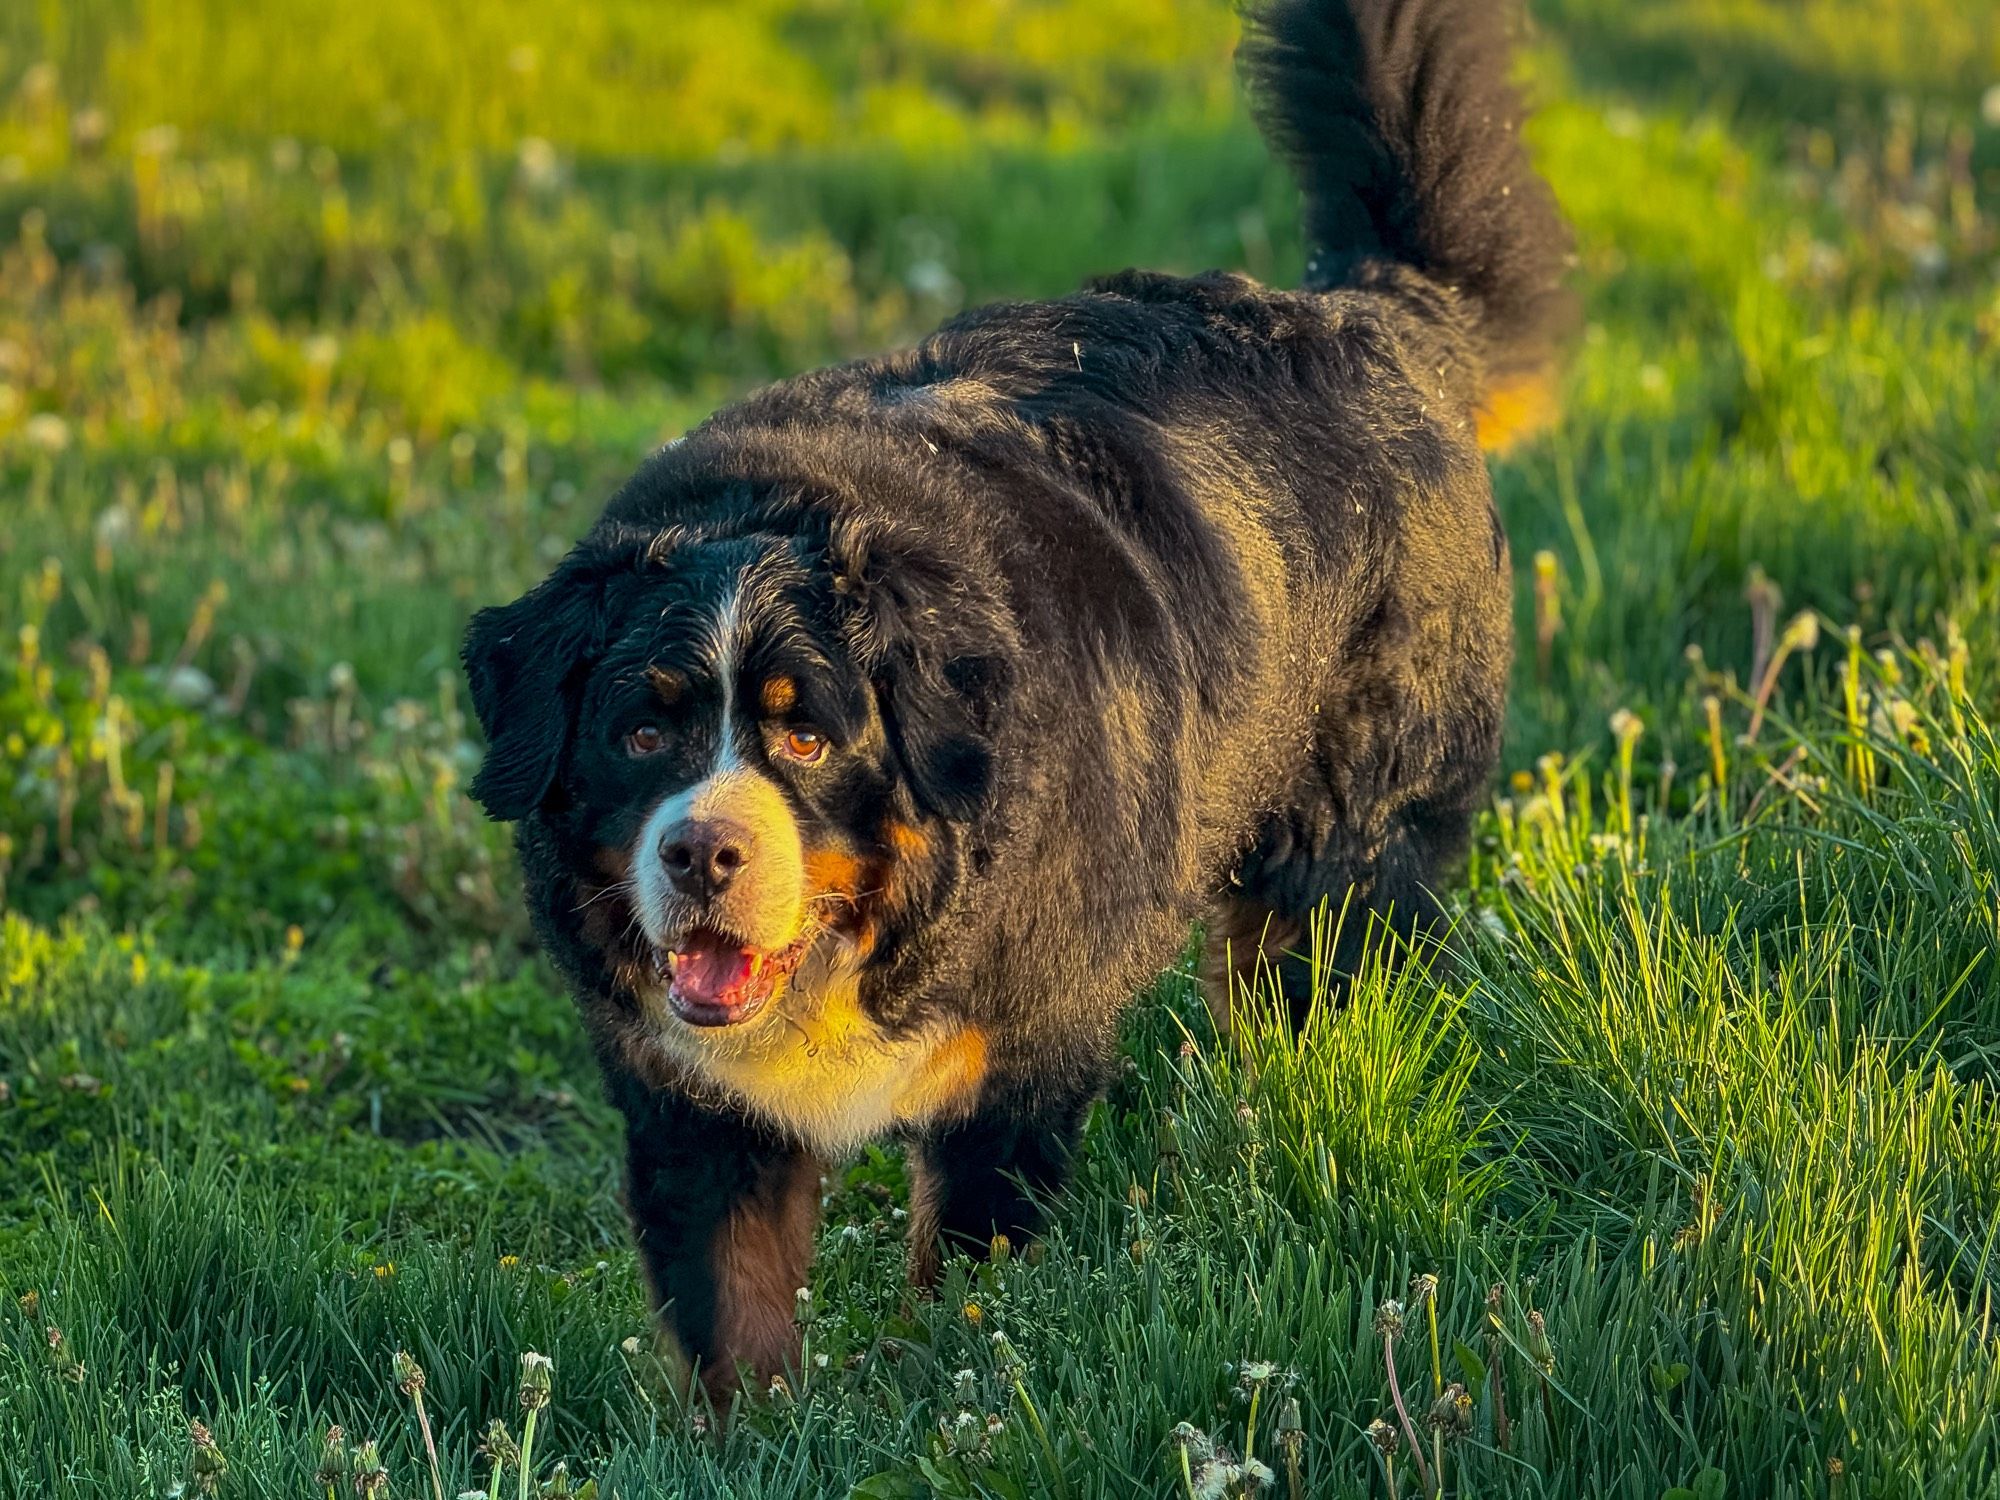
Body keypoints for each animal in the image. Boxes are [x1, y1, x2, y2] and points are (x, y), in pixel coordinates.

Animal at [468, 0, 1576, 1408]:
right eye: (643, 730)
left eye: (806, 732)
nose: (701, 851)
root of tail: (1375, 315)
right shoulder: (694, 1105)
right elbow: (734, 1311)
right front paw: (754, 1431)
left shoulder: (1016, 1067)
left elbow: (969, 1285)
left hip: (1340, 864)